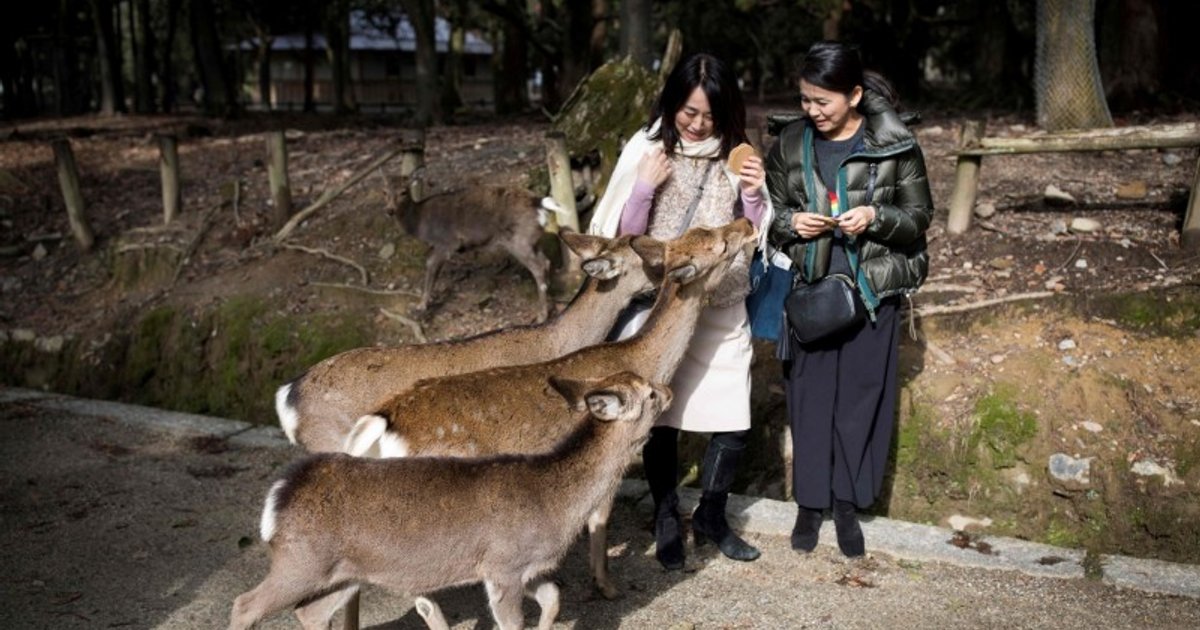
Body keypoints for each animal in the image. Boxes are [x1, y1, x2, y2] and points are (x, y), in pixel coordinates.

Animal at [228, 371, 672, 630]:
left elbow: (554, 599)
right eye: (650, 394)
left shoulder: (528, 569)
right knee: (243, 603)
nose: (669, 391)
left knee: (308, 611)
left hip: (342, 573)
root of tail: (278, 498)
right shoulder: (502, 564)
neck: (557, 503)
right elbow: (513, 624)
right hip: (300, 562)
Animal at [342, 218, 757, 601]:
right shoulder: (613, 456)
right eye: (720, 245)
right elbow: (600, 519)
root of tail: (382, 427)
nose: (747, 222)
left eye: (708, 229)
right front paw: (607, 586)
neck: (641, 361)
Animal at [383, 169, 551, 321]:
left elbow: (430, 265)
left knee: (538, 266)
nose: (389, 210)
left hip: (519, 240)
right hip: (532, 240)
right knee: (546, 261)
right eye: (384, 192)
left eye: (403, 192)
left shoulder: (447, 242)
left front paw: (421, 306)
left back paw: (542, 315)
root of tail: (538, 203)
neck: (420, 225)